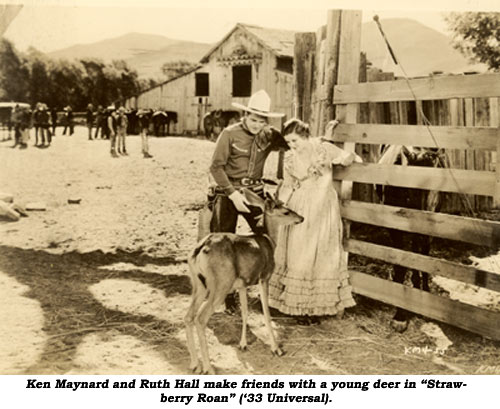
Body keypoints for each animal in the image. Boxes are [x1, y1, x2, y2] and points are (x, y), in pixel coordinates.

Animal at [186, 188, 302, 372]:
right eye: (286, 211)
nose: (301, 218)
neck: (270, 241)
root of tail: (200, 249)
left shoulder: (242, 284)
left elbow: (245, 312)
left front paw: (243, 344)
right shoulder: (264, 277)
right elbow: (266, 314)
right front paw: (276, 348)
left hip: (199, 284)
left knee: (188, 316)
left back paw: (194, 364)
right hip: (220, 284)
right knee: (200, 318)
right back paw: (208, 368)